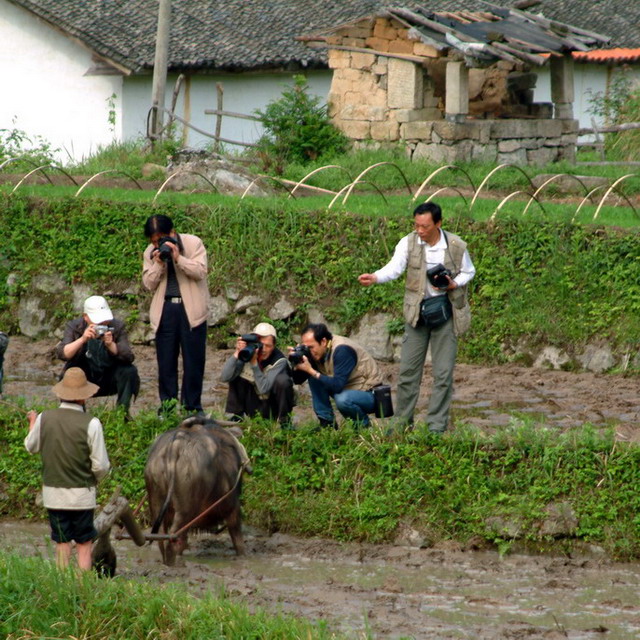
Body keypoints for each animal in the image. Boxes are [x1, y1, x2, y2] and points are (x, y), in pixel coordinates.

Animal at [144, 416, 246, 564]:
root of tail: (176, 445)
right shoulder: (233, 505)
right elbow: (237, 536)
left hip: (157, 502)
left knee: (163, 537)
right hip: (185, 508)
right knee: (173, 537)